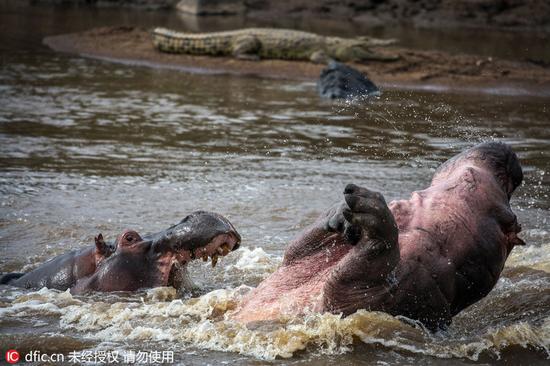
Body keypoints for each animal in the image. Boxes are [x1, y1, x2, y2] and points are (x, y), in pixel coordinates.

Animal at [233, 142, 528, 330]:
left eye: (512, 221)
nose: (513, 158)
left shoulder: (373, 300)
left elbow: (361, 267)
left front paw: (374, 209)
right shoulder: (297, 263)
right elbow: (299, 247)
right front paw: (338, 213)